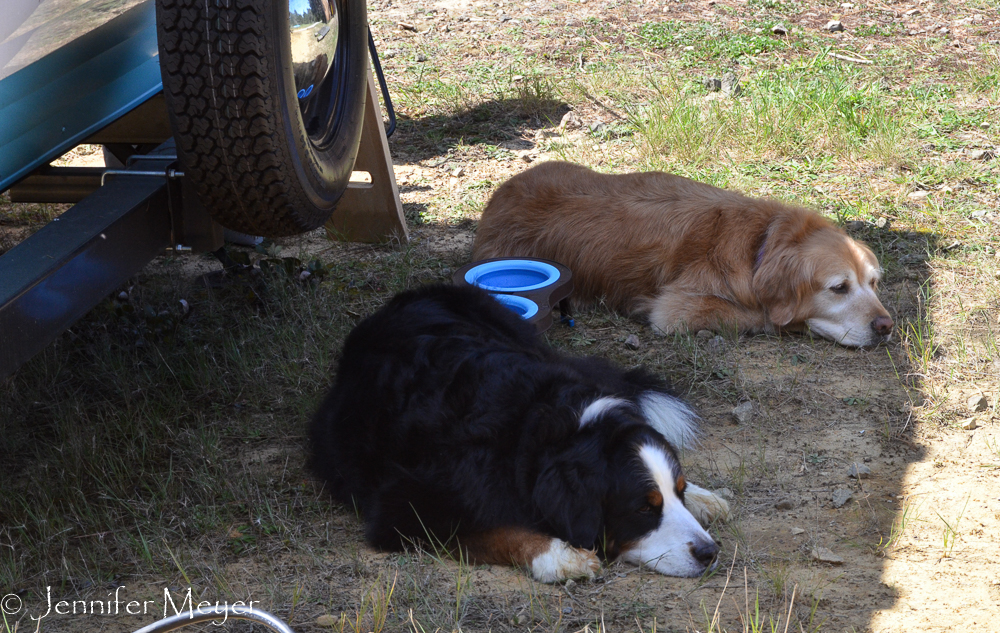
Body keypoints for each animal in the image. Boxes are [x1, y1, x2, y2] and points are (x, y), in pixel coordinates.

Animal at [308, 284, 732, 580]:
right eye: (644, 508)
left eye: (675, 492)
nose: (708, 552)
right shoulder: (402, 506)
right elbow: (497, 529)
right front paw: (560, 556)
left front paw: (696, 496)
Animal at [472, 158, 896, 346]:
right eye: (838, 288)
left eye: (873, 284)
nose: (885, 326)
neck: (759, 245)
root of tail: (500, 194)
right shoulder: (676, 309)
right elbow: (759, 315)